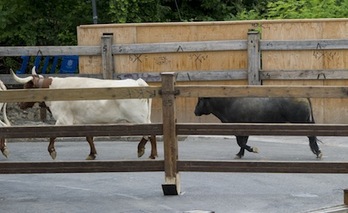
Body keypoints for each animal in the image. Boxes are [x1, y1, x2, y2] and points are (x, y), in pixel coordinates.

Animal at [11, 67, 156, 160]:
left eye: (26, 87)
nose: (18, 104)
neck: (54, 89)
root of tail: (137, 82)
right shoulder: (84, 120)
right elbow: (89, 137)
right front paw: (92, 154)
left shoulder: (63, 119)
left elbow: (53, 134)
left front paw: (52, 151)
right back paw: (143, 150)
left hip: (138, 117)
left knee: (151, 133)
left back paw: (150, 154)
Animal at [194, 97, 322, 159]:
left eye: (200, 100)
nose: (195, 111)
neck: (228, 104)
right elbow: (242, 143)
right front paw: (240, 154)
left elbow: (241, 142)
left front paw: (253, 149)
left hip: (301, 122)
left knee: (311, 136)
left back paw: (318, 152)